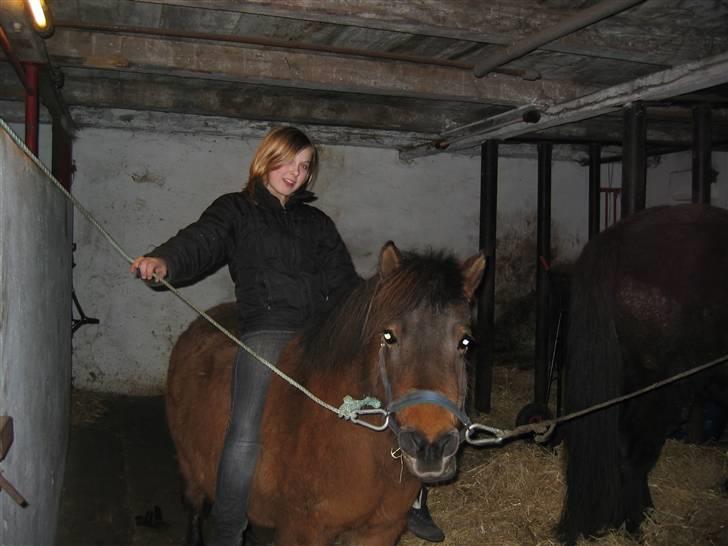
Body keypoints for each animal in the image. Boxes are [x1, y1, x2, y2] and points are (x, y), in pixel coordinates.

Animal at [166, 241, 485, 545]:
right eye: (389, 336)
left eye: (466, 342)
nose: (430, 446)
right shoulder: (303, 532)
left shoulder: (380, 531)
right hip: (190, 471)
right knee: (194, 510)